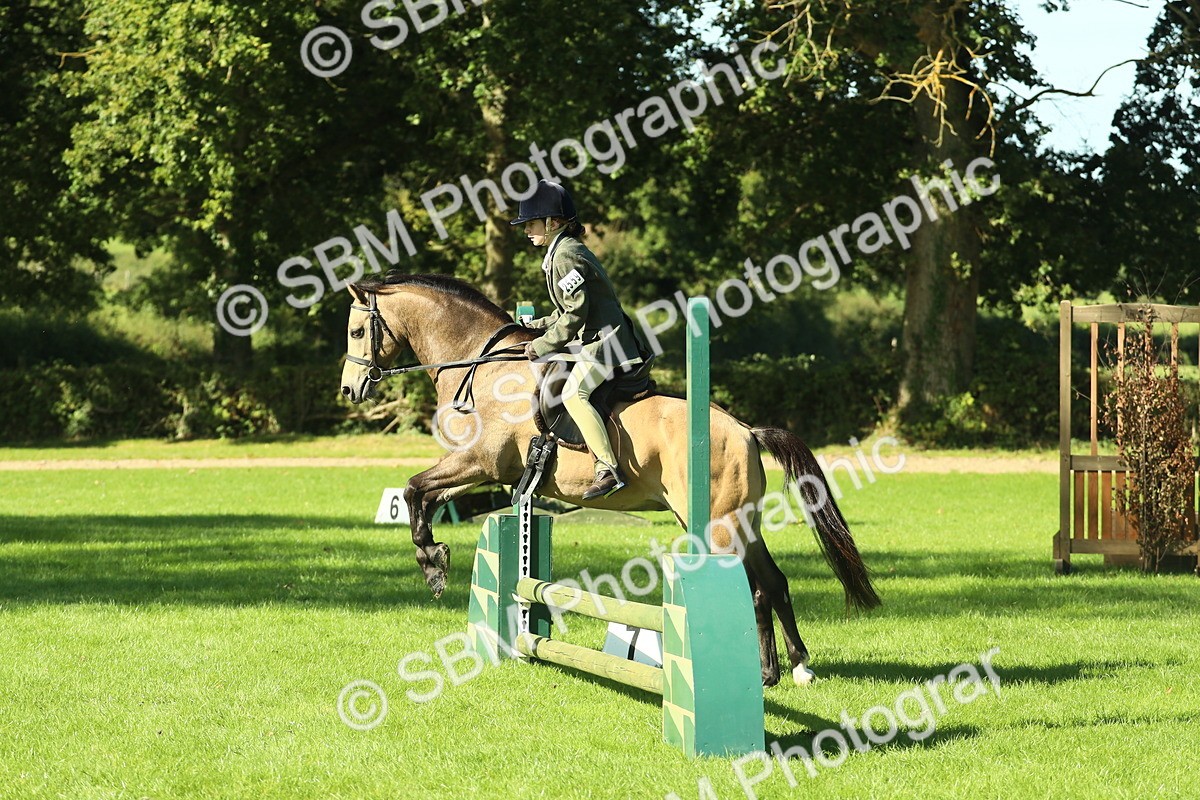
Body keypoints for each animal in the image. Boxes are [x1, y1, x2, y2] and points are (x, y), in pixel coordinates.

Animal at [339, 272, 880, 687]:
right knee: (773, 582)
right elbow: (425, 496)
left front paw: (432, 565)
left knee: (759, 588)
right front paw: (435, 559)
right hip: (734, 521)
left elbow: (414, 488)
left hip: (720, 523)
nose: (348, 389)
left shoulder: (481, 462)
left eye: (358, 332)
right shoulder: (487, 470)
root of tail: (746, 430)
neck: (485, 366)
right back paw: (792, 670)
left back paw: (774, 673)